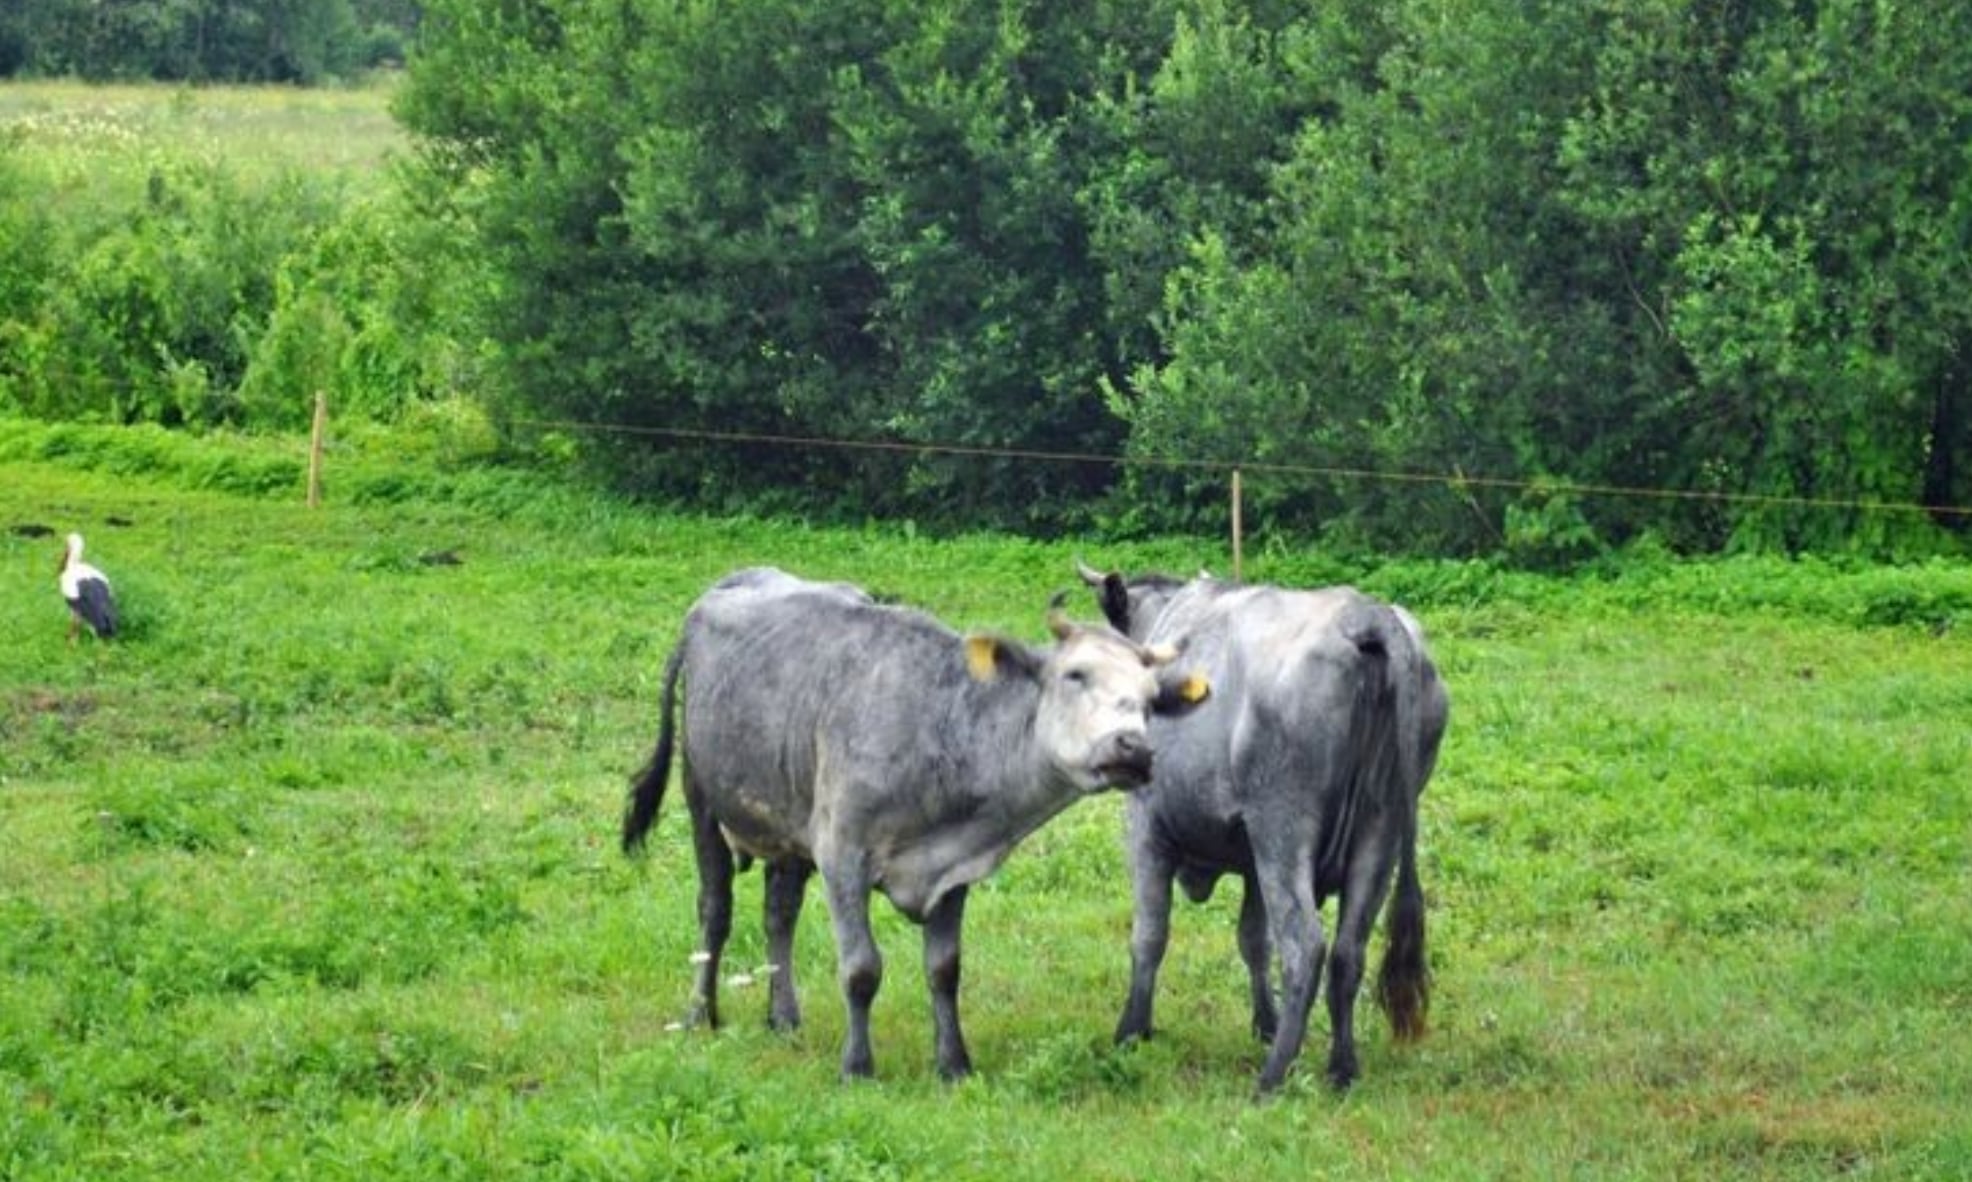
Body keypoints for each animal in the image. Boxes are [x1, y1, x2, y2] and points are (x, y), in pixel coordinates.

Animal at [622, 567, 1210, 1081]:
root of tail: (727, 586)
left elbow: (944, 969)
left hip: (788, 824)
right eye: (1075, 674)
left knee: (778, 914)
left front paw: (953, 1064)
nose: (1133, 748)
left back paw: (783, 1015)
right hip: (702, 797)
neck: (936, 726)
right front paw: (857, 1067)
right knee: (715, 912)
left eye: (1151, 699)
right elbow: (861, 969)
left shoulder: (953, 868)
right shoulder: (841, 854)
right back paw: (700, 1013)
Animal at [1076, 561, 1448, 1093]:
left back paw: (1272, 1077)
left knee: (1306, 946)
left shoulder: (1146, 829)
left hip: (1285, 832)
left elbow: (1149, 934)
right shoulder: (1252, 860)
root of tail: (1366, 616)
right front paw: (1265, 1023)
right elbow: (1253, 939)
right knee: (1347, 952)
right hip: (1381, 834)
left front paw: (1131, 1031)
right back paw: (1340, 1068)